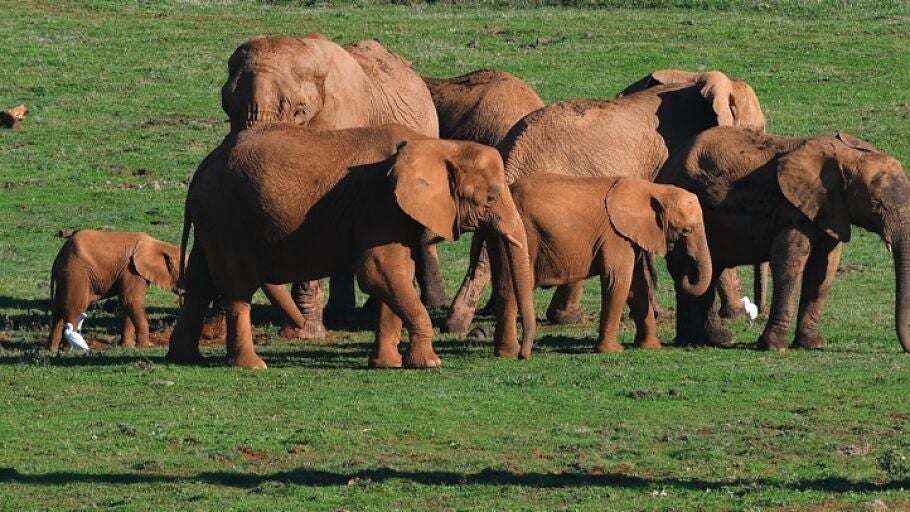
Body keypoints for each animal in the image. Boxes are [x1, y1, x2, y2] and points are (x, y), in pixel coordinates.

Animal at [48, 230, 182, 351]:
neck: (160, 245)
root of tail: (57, 260)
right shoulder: (132, 270)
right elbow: (130, 300)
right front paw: (146, 346)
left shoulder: (131, 271)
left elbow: (127, 303)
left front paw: (128, 346)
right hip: (76, 273)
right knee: (74, 308)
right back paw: (69, 350)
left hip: (66, 275)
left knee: (58, 310)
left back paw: (52, 349)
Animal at [166, 123, 536, 369]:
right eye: (490, 198)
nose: (520, 355)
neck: (438, 145)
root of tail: (202, 168)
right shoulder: (380, 202)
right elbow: (378, 270)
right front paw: (429, 363)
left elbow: (394, 275)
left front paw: (387, 365)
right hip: (229, 216)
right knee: (237, 287)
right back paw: (251, 366)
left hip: (214, 220)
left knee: (200, 283)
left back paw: (183, 358)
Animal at [489, 174, 712, 358]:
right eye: (686, 231)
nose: (684, 268)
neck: (654, 189)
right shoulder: (615, 235)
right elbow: (618, 281)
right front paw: (612, 351)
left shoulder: (629, 236)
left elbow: (637, 288)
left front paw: (650, 347)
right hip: (522, 236)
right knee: (511, 287)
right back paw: (511, 353)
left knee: (504, 287)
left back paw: (506, 353)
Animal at [657, 127, 910, 352]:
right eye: (876, 205)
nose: (904, 350)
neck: (848, 157)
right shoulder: (792, 211)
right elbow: (789, 263)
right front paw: (774, 347)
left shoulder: (830, 211)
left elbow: (824, 269)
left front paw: (813, 345)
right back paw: (703, 341)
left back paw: (704, 340)